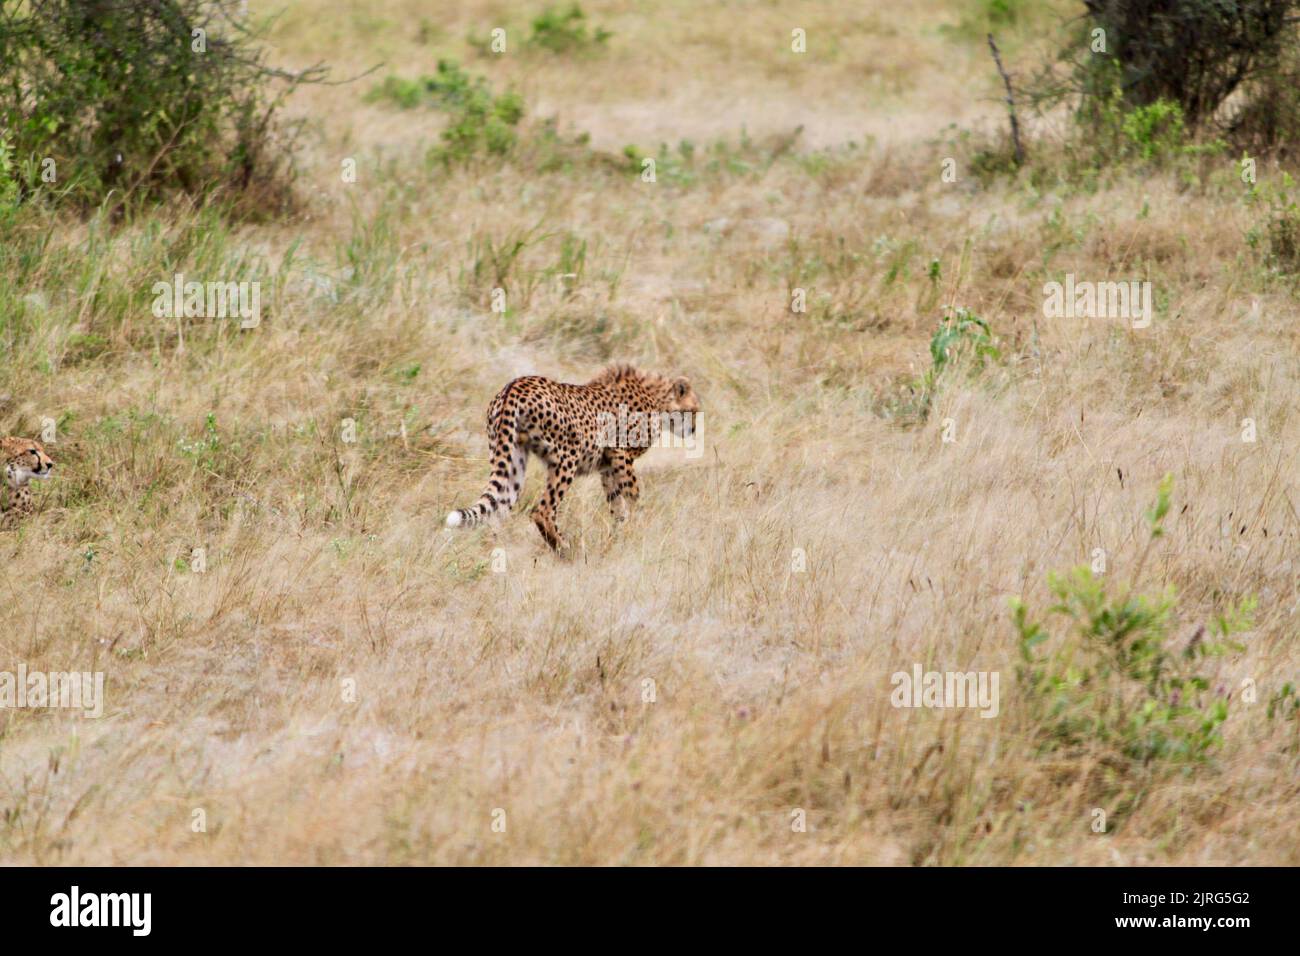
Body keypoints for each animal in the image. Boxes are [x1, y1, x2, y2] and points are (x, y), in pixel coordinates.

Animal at [452, 361, 707, 548]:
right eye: (694, 411)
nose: (694, 429)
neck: (657, 398)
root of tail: (514, 386)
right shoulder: (620, 453)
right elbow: (633, 495)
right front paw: (641, 525)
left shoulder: (608, 466)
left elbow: (616, 503)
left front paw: (620, 533)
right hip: (567, 457)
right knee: (542, 510)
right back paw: (564, 548)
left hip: (512, 458)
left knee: (499, 510)